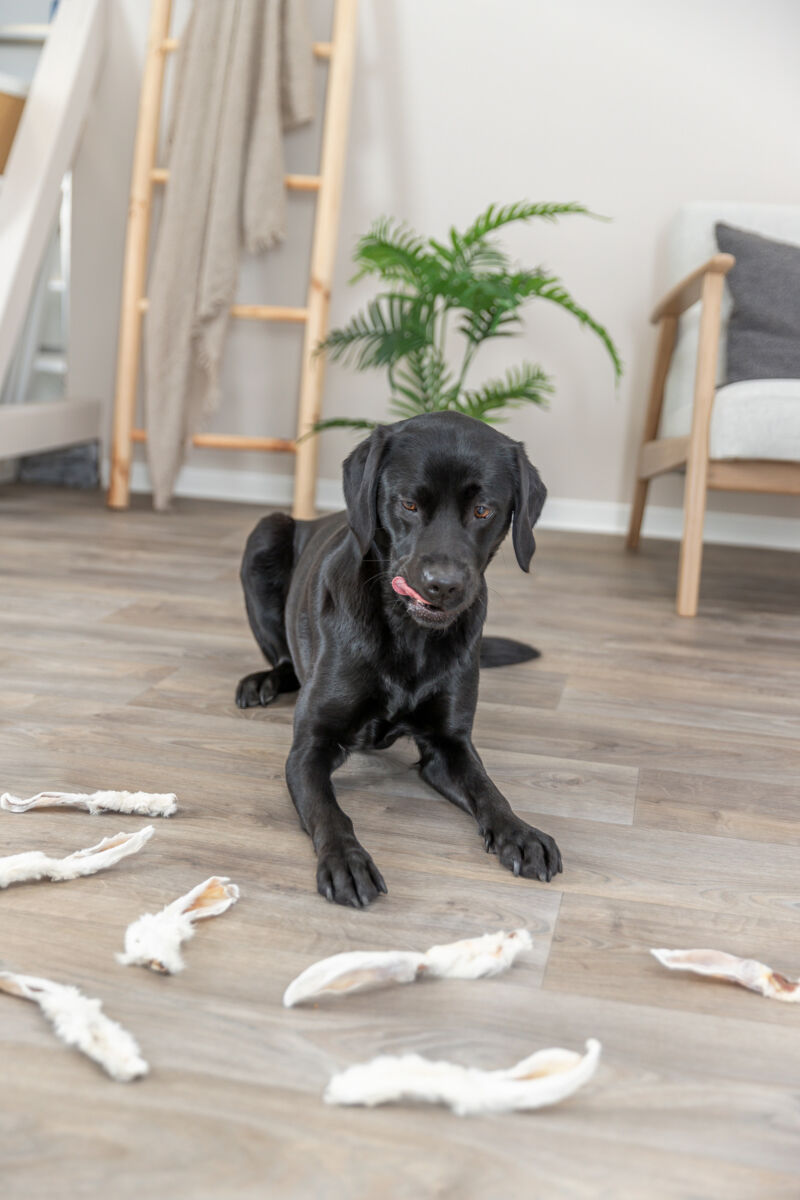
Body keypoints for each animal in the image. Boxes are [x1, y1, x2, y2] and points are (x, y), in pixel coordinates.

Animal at [236, 411, 562, 906]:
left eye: (482, 510)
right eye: (408, 504)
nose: (442, 584)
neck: (410, 637)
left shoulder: (449, 744)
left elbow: (489, 791)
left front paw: (520, 832)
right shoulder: (310, 745)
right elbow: (330, 812)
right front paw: (346, 860)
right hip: (264, 534)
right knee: (285, 664)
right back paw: (262, 682)